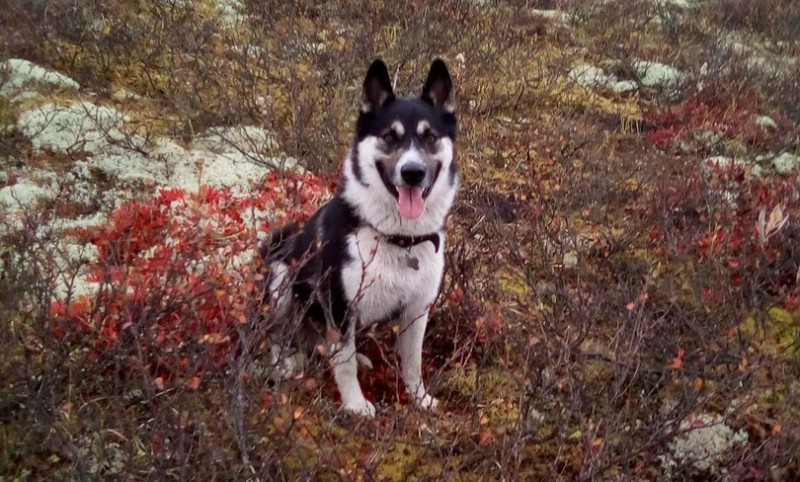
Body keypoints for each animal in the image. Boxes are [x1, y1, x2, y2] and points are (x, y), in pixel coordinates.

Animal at [262, 58, 456, 416]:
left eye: (431, 137)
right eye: (389, 137)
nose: (412, 173)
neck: (398, 238)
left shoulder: (417, 309)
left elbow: (413, 362)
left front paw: (419, 397)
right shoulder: (339, 308)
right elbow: (345, 364)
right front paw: (355, 405)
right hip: (281, 278)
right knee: (277, 335)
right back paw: (283, 363)